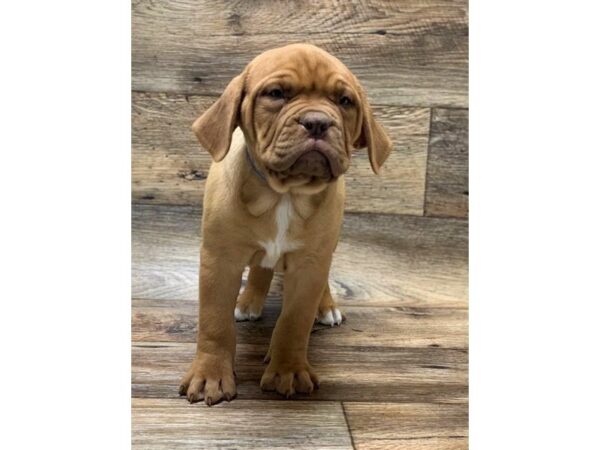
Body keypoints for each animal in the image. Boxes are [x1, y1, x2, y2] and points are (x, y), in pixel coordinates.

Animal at [179, 44, 394, 406]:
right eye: (276, 94)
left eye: (344, 101)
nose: (317, 122)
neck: (286, 194)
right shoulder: (219, 260)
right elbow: (214, 322)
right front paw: (210, 375)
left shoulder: (309, 265)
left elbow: (295, 322)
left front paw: (288, 370)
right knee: (260, 268)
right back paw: (249, 300)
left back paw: (326, 306)